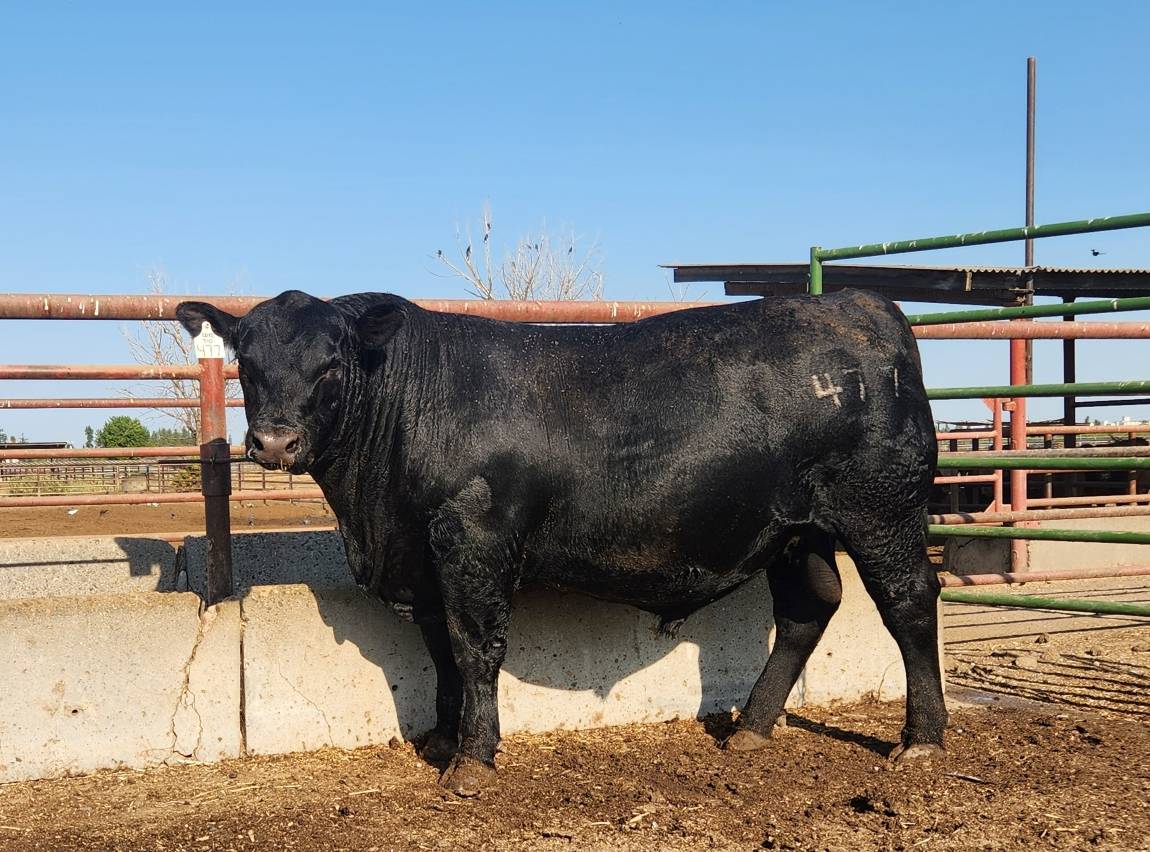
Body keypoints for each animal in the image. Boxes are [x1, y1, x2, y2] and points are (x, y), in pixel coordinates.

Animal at [176, 289, 946, 796]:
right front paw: (444, 736)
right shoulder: (424, 560)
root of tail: (863, 305)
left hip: (881, 510)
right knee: (808, 608)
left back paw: (922, 740)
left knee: (909, 602)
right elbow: (440, 648)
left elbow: (473, 646)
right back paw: (752, 728)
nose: (274, 442)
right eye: (246, 363)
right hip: (795, 529)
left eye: (331, 363)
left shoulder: (474, 539)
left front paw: (472, 759)